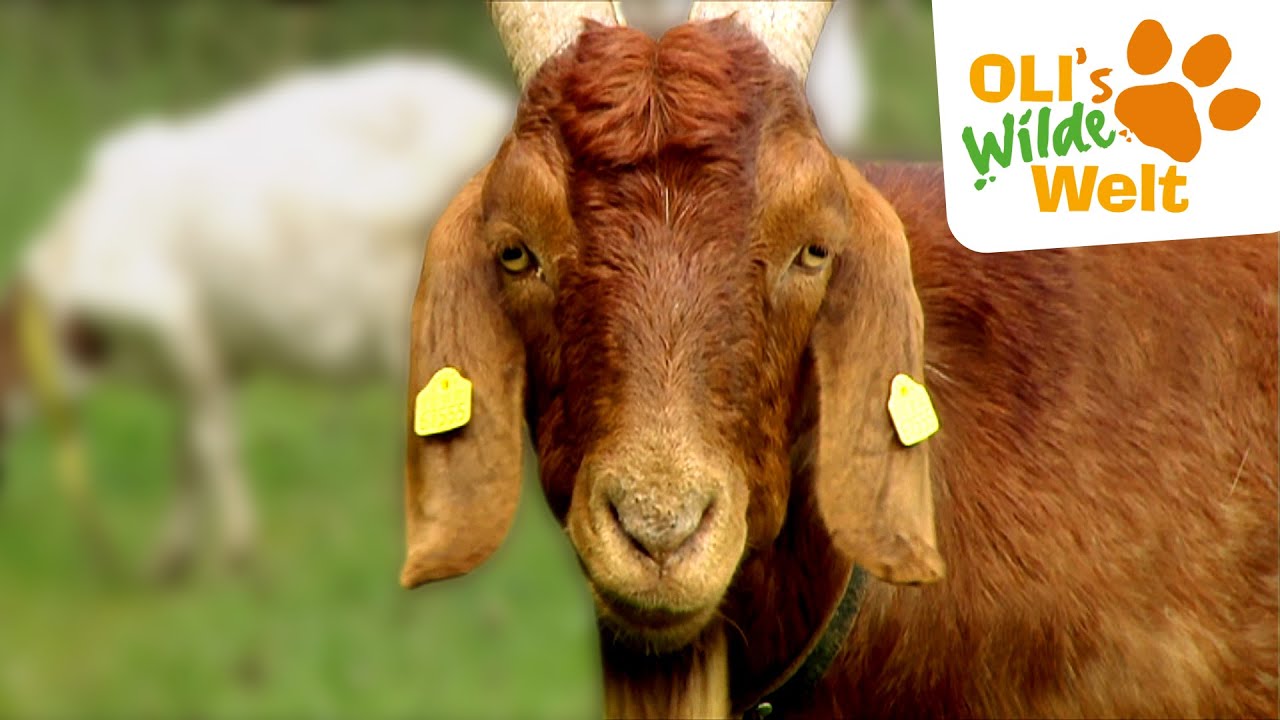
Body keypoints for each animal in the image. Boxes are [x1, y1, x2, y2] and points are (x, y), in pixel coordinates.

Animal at [0, 55, 514, 577]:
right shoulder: (222, 355)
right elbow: (188, 452)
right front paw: (174, 559)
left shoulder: (180, 329)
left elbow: (211, 445)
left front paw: (238, 554)